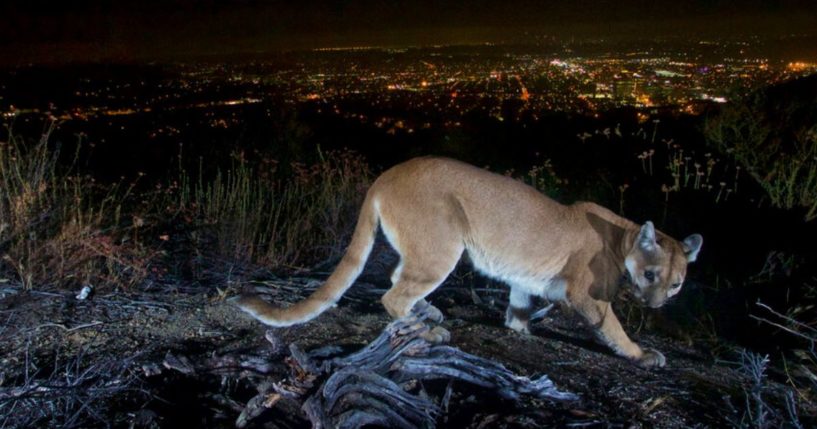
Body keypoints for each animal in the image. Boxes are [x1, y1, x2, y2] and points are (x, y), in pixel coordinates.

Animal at [236, 157, 700, 368]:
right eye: (651, 274)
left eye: (676, 283)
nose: (657, 304)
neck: (623, 236)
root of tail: (386, 174)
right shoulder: (588, 295)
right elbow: (612, 327)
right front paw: (642, 354)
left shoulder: (524, 277)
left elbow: (519, 303)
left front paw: (519, 328)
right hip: (444, 246)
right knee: (393, 294)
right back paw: (428, 329)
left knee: (397, 277)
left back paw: (429, 312)